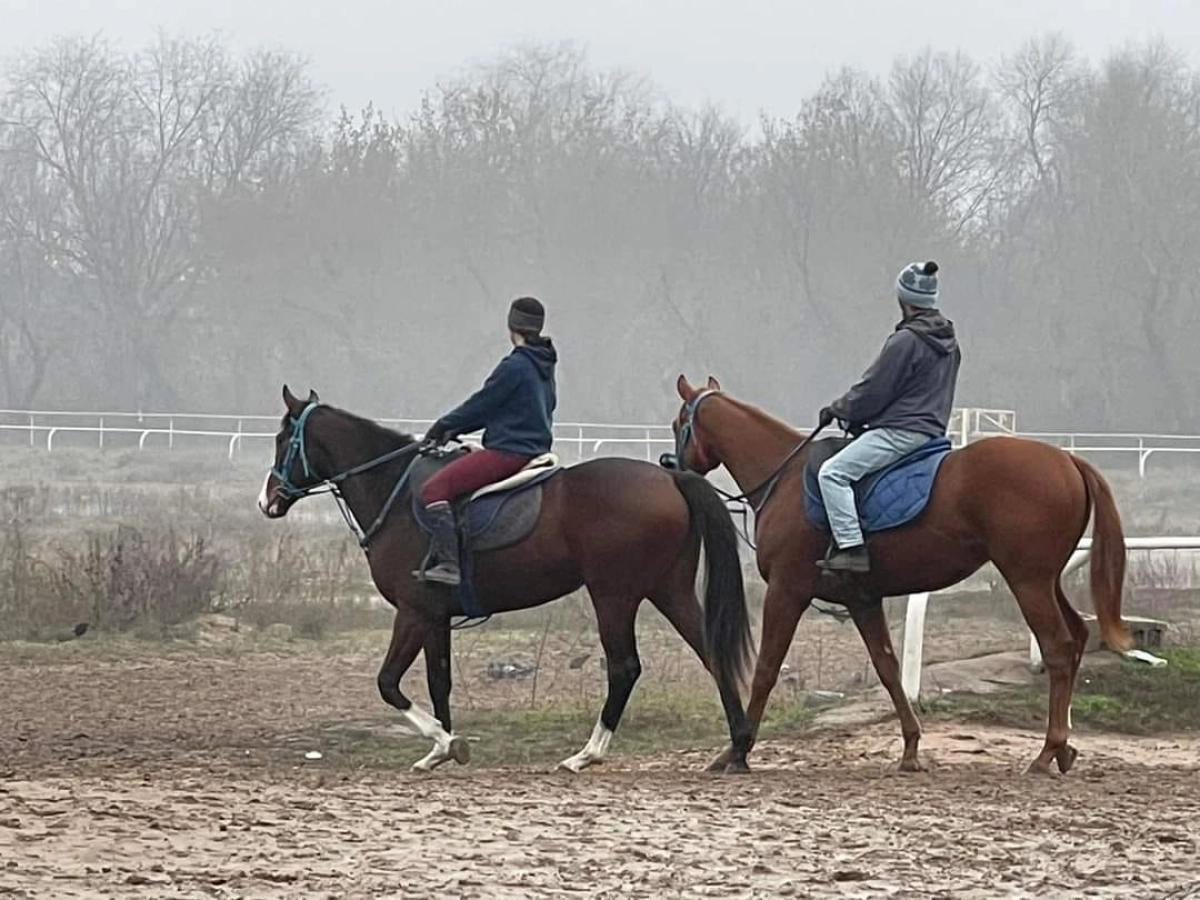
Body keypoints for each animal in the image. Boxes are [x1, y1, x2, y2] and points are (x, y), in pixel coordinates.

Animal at [258, 388, 753, 777]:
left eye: (283, 440)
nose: (268, 501)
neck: (394, 494)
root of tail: (670, 476)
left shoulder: (414, 611)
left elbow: (388, 682)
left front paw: (446, 742)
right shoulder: (435, 617)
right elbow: (439, 680)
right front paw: (439, 751)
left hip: (614, 595)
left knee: (624, 667)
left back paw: (586, 754)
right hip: (669, 589)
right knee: (710, 653)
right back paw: (739, 745)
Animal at [667, 376, 1132, 777]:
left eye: (677, 424)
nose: (670, 464)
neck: (784, 478)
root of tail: (1067, 459)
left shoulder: (787, 590)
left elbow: (766, 669)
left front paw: (736, 750)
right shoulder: (862, 600)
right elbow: (888, 667)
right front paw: (910, 748)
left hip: (1028, 581)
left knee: (1058, 648)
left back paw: (1047, 751)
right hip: (1047, 580)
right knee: (1076, 639)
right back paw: (1063, 748)